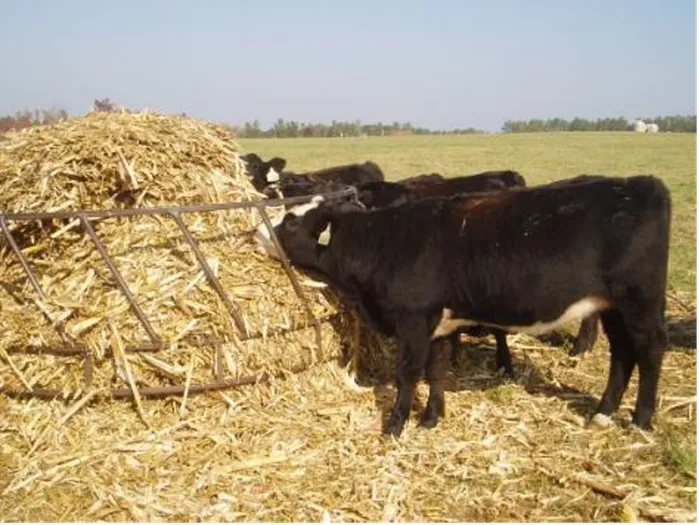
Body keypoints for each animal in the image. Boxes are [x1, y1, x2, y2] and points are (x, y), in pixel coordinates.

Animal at [257, 174, 671, 437]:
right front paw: (431, 419)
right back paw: (602, 413)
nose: (257, 230)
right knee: (622, 354)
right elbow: (436, 372)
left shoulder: (413, 321)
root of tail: (640, 183)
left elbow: (408, 374)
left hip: (639, 302)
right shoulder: (441, 324)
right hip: (613, 307)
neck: (385, 241)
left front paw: (395, 426)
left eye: (291, 222)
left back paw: (641, 420)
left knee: (649, 352)